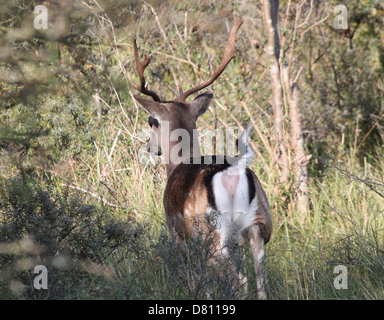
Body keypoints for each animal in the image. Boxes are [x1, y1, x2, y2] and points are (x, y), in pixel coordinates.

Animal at [131, 16, 272, 298]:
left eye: (152, 121)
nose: (150, 147)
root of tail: (234, 172)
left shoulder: (177, 231)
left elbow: (196, 278)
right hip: (260, 224)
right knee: (259, 277)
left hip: (212, 231)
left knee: (236, 279)